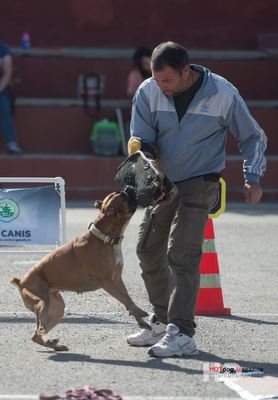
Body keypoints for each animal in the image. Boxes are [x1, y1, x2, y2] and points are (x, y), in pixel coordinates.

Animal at [10, 191, 149, 350]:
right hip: (42, 302)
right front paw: (139, 312)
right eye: (124, 196)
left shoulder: (117, 280)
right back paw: (51, 342)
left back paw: (54, 345)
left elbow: (127, 299)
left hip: (56, 308)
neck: (104, 236)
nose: (128, 188)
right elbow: (126, 299)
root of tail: (21, 281)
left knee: (37, 333)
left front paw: (141, 321)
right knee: (39, 330)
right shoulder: (108, 282)